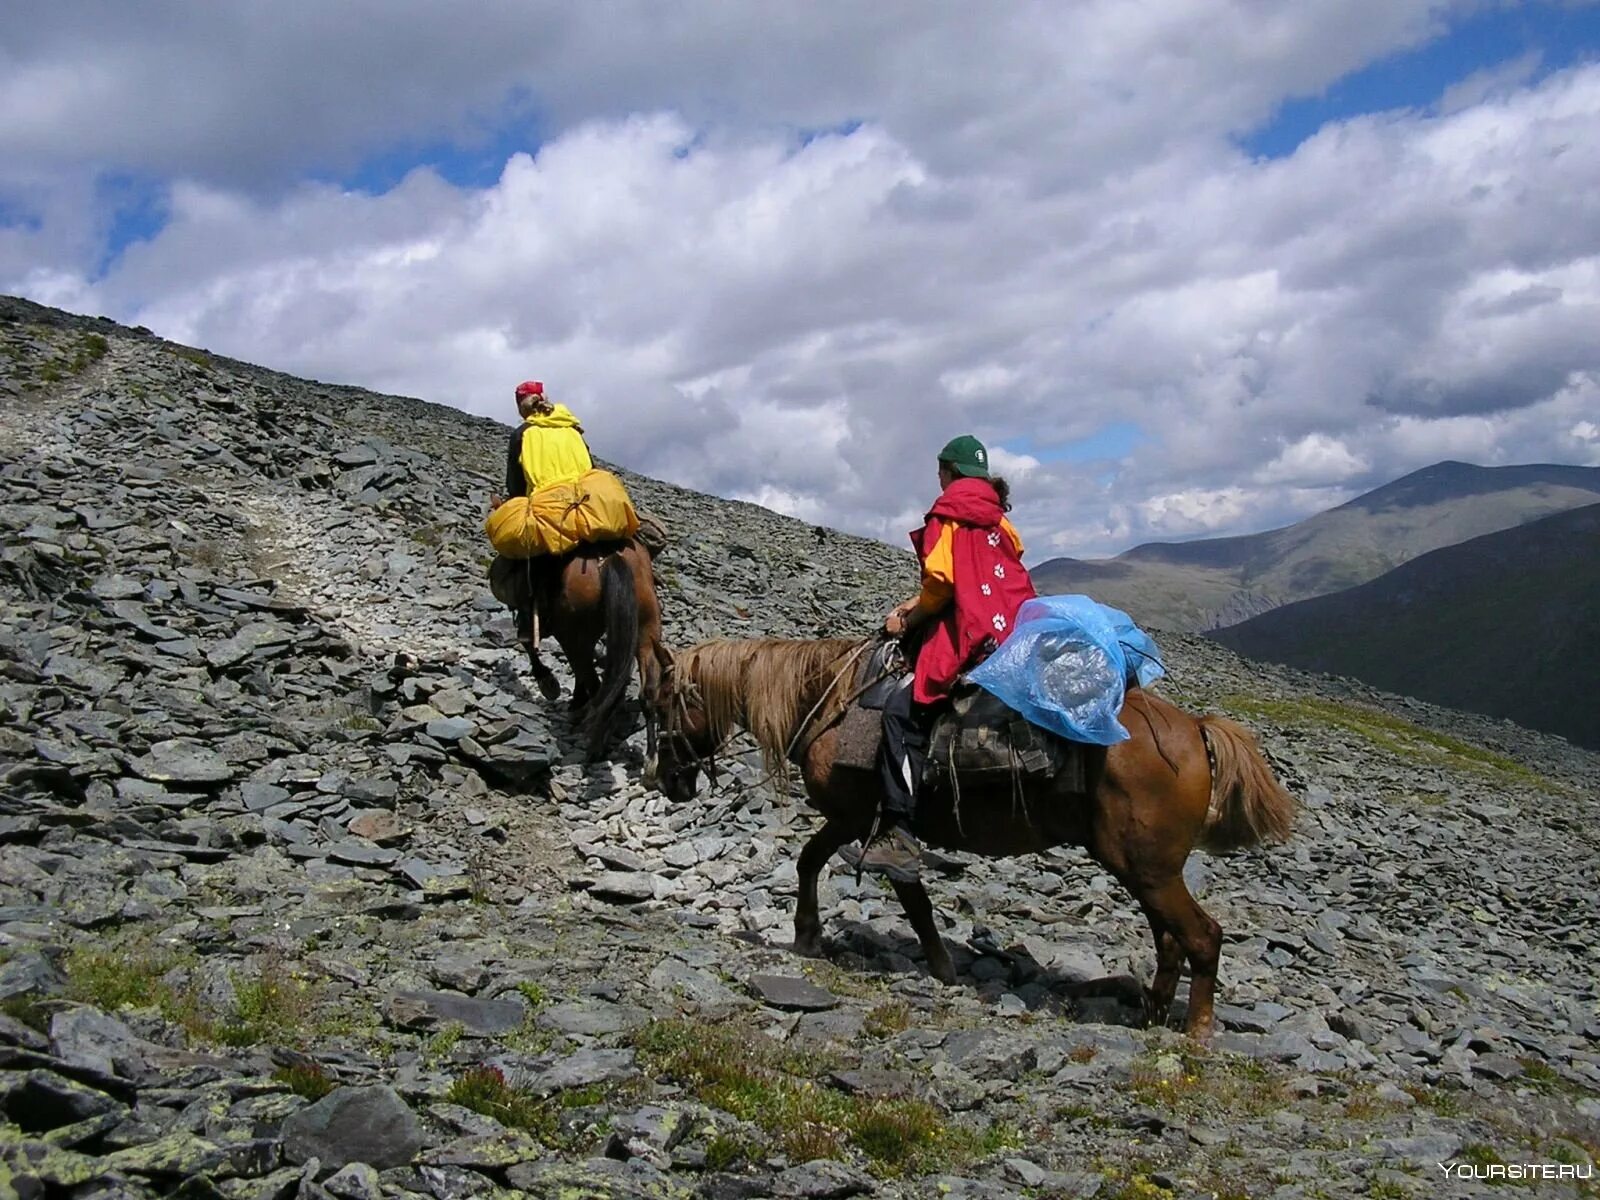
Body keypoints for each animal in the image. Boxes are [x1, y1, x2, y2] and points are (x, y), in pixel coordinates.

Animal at [486, 544, 662, 764]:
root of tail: (611, 559)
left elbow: (529, 643)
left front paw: (550, 685)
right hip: (646, 631)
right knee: (645, 689)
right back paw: (649, 759)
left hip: (573, 634)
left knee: (594, 683)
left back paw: (595, 747)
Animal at [649, 640, 1299, 1043]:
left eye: (660, 705)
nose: (668, 782)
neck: (829, 701)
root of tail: (1193, 729)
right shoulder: (878, 826)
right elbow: (901, 893)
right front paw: (938, 965)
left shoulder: (857, 817)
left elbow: (823, 863)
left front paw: (809, 936)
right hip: (1144, 868)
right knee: (1170, 940)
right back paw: (1154, 1014)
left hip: (1149, 868)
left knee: (1202, 936)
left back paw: (1197, 1031)